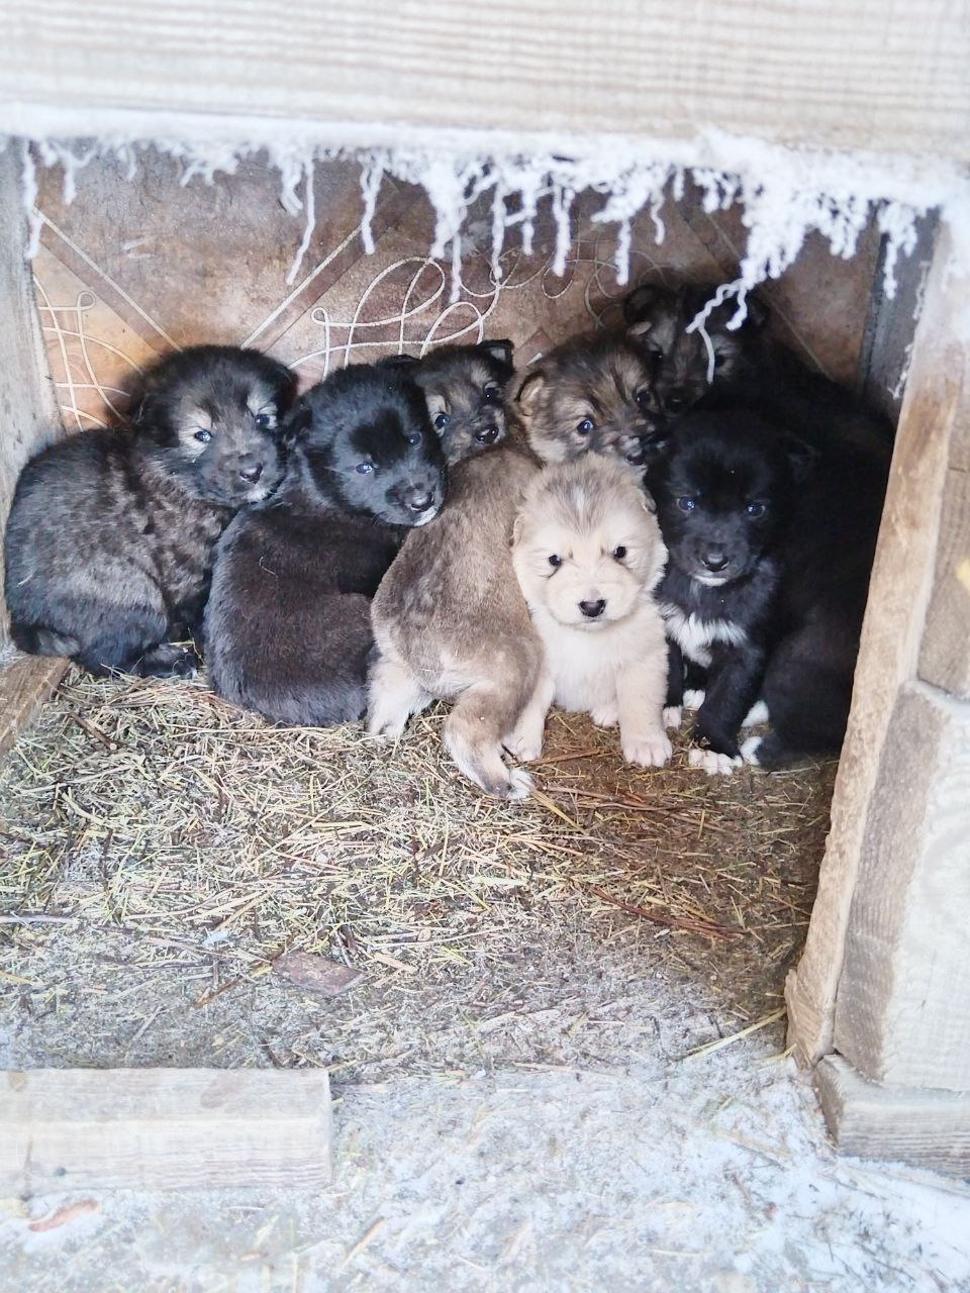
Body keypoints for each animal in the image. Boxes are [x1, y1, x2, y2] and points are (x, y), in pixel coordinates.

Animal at [4, 345, 294, 678]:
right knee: (104, 657)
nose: (252, 472)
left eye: (263, 418)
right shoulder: (188, 578)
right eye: (201, 435)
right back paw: (172, 661)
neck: (176, 481)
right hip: (135, 593)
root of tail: (23, 616)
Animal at [512, 457, 671, 767]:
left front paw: (646, 743)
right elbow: (531, 702)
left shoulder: (645, 657)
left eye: (620, 552)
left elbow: (641, 701)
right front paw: (522, 736)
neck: (588, 637)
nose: (592, 606)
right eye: (554, 560)